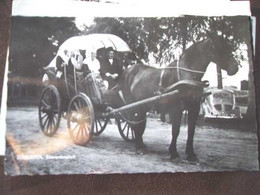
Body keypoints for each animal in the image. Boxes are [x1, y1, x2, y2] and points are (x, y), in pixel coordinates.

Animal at [105, 34, 238, 161]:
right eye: (219, 47)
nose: (235, 68)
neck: (187, 77)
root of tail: (127, 72)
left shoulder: (194, 108)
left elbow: (191, 131)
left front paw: (191, 154)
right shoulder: (176, 108)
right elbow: (176, 131)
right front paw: (174, 154)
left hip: (141, 105)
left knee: (139, 124)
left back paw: (141, 145)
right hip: (132, 106)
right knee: (134, 124)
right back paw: (139, 147)